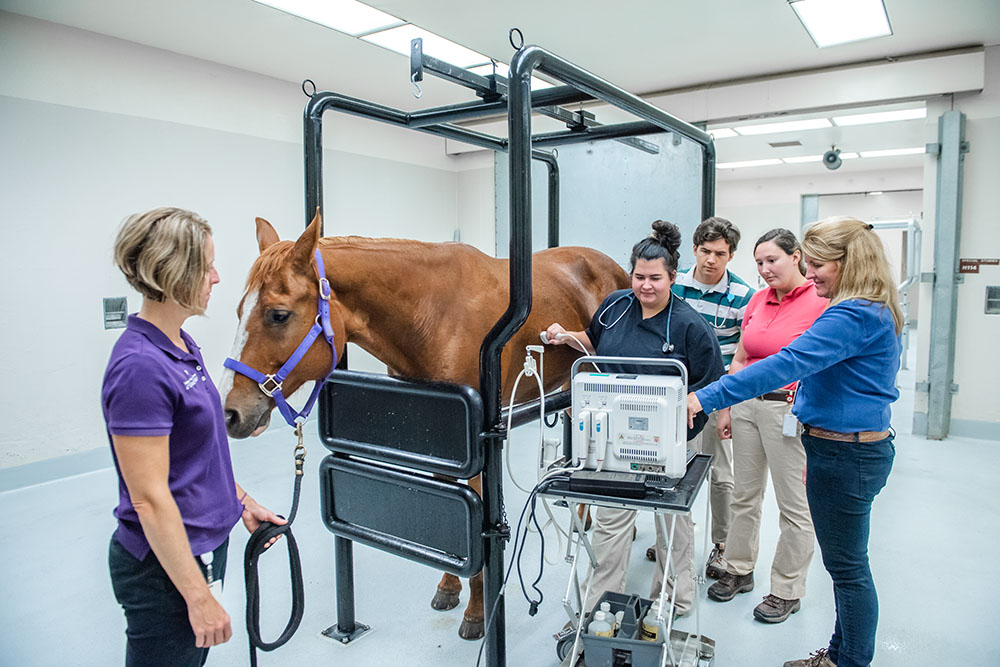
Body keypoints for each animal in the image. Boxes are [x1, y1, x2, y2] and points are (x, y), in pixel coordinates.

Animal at [221, 215, 624, 640]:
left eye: (278, 314)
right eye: (239, 311)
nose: (230, 412)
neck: (432, 314)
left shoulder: (476, 446)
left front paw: (476, 613)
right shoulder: (442, 436)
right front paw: (448, 588)